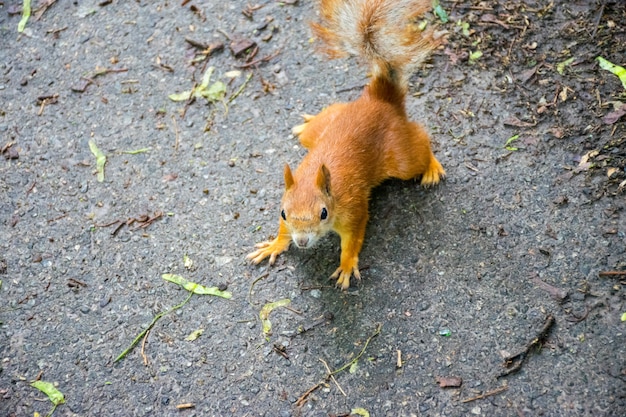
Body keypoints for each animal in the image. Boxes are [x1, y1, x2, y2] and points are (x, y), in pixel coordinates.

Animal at [245, 0, 444, 290]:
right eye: (283, 212)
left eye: (323, 213)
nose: (301, 242)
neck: (321, 183)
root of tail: (377, 99)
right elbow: (283, 232)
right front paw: (275, 244)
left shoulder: (354, 210)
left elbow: (354, 239)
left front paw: (347, 265)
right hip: (324, 126)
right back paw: (306, 124)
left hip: (401, 158)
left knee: (420, 143)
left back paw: (432, 167)